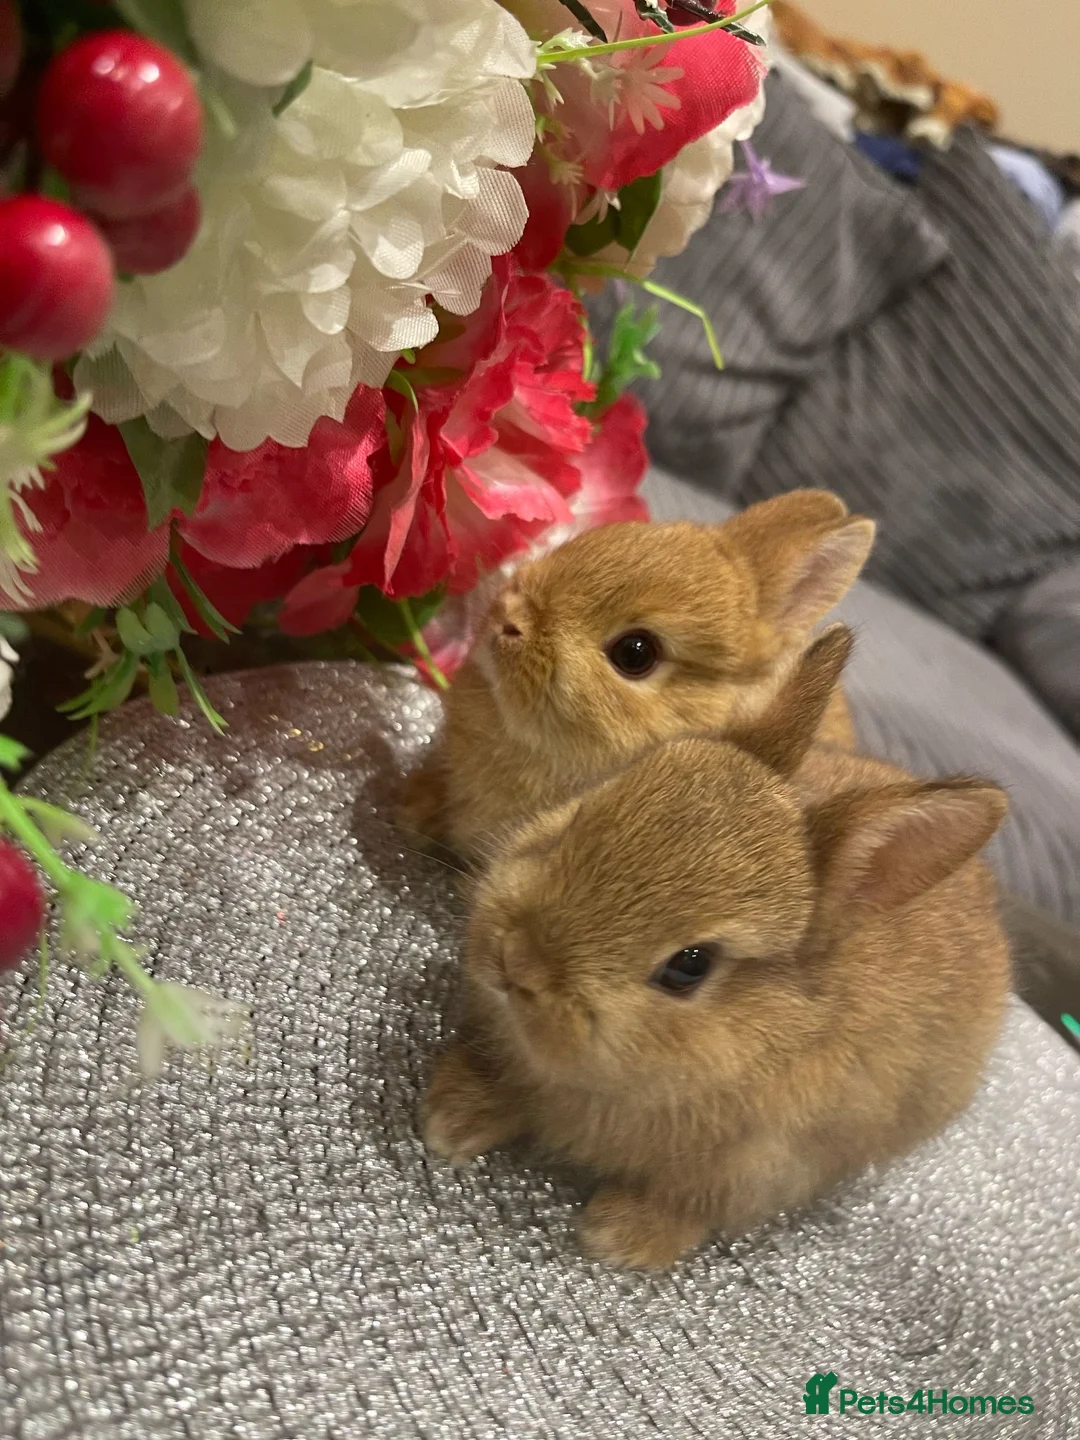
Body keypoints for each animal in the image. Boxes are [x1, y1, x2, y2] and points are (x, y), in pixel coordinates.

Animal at [422, 627, 1009, 1269]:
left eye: (689, 967)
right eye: (581, 817)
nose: (517, 960)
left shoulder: (759, 1168)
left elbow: (691, 1206)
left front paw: (619, 1237)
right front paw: (450, 1116)